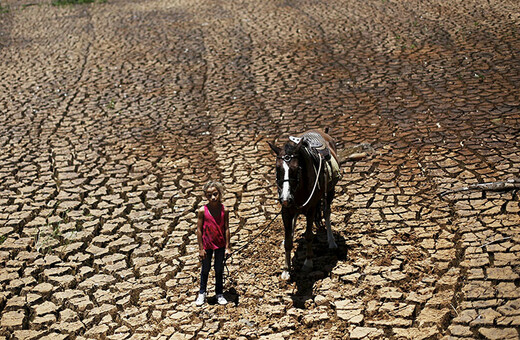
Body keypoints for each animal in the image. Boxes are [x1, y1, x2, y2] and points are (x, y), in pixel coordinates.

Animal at [268, 129, 342, 280]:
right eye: (278, 169)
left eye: (297, 169)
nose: (285, 198)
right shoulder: (286, 211)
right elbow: (288, 241)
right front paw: (286, 270)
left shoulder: (311, 210)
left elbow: (308, 236)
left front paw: (308, 263)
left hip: (330, 191)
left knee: (326, 212)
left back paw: (331, 241)